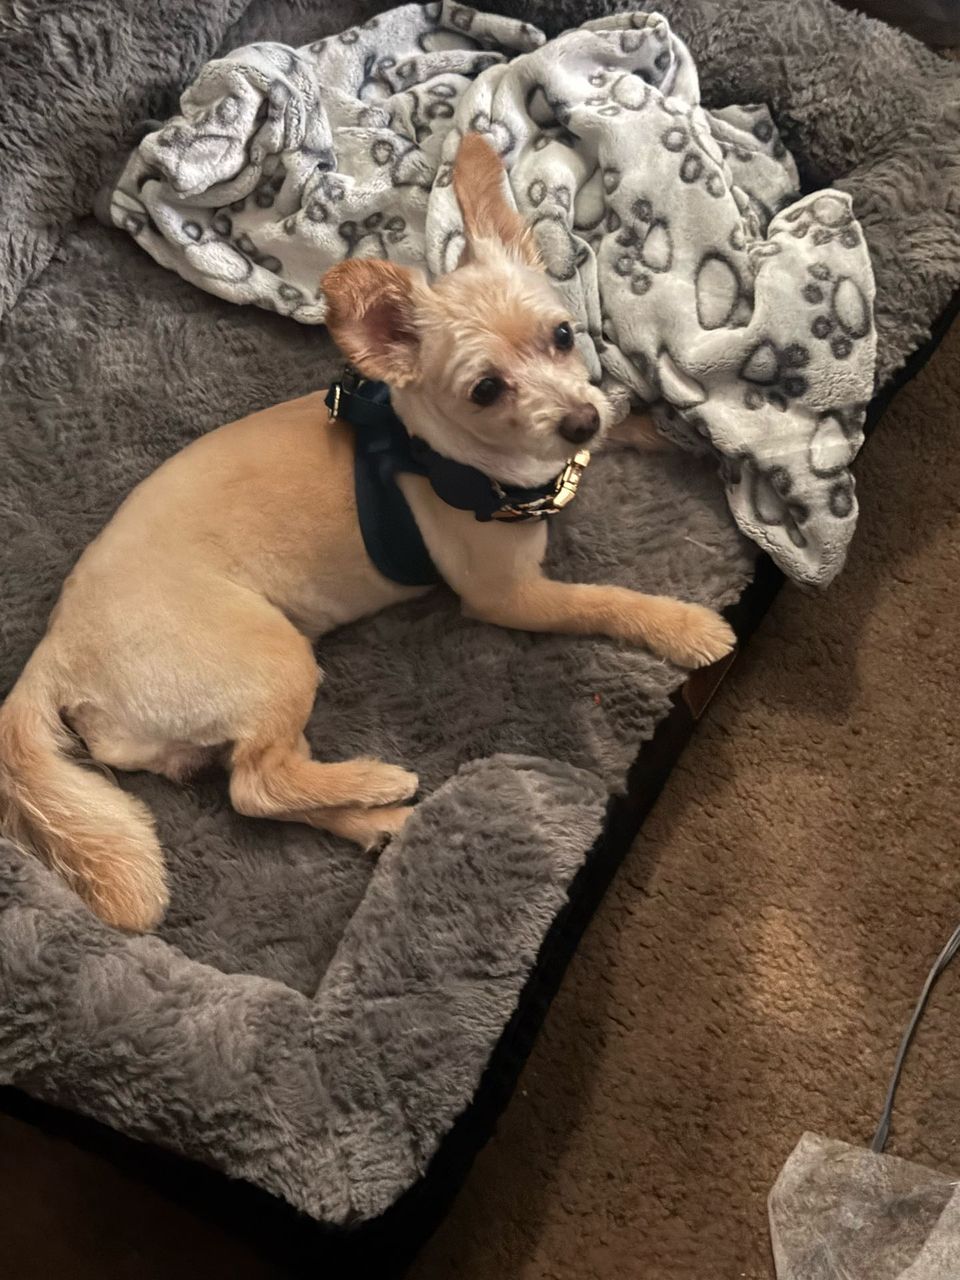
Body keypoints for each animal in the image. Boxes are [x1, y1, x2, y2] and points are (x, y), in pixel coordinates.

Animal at [0, 134, 734, 933]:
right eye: (485, 390)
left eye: (564, 336)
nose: (576, 422)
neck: (441, 450)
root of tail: (53, 652)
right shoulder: (510, 596)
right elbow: (604, 600)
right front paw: (688, 627)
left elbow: (624, 428)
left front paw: (678, 437)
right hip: (278, 657)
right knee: (256, 785)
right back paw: (378, 782)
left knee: (256, 791)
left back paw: (376, 821)